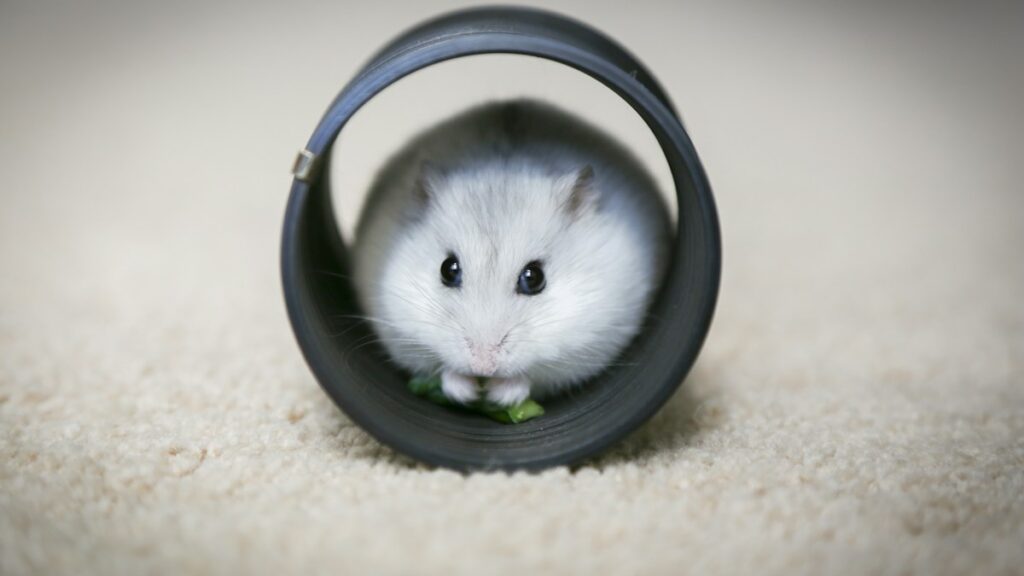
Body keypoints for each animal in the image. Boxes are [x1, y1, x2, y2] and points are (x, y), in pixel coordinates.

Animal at [351, 99, 670, 407]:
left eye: (534, 277)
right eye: (447, 269)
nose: (483, 366)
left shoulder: (590, 343)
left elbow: (533, 376)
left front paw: (500, 395)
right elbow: (443, 370)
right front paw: (467, 392)